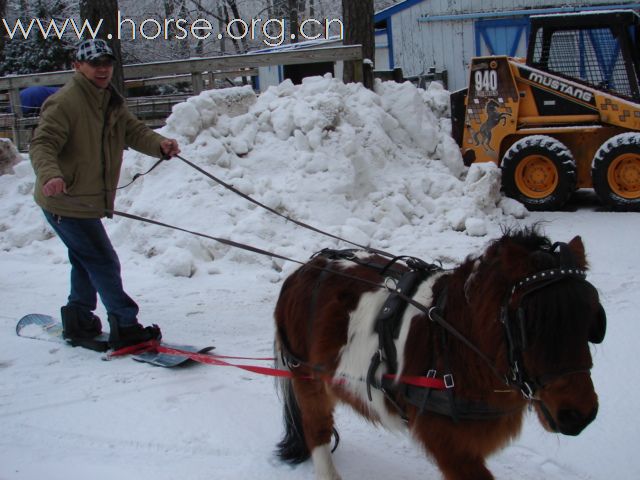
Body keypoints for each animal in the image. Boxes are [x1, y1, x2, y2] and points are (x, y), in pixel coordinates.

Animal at [272, 228, 608, 480]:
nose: (580, 415)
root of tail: (301, 271)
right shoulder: (451, 447)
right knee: (316, 429)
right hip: (308, 379)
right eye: (531, 323)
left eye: (591, 320)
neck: (459, 338)